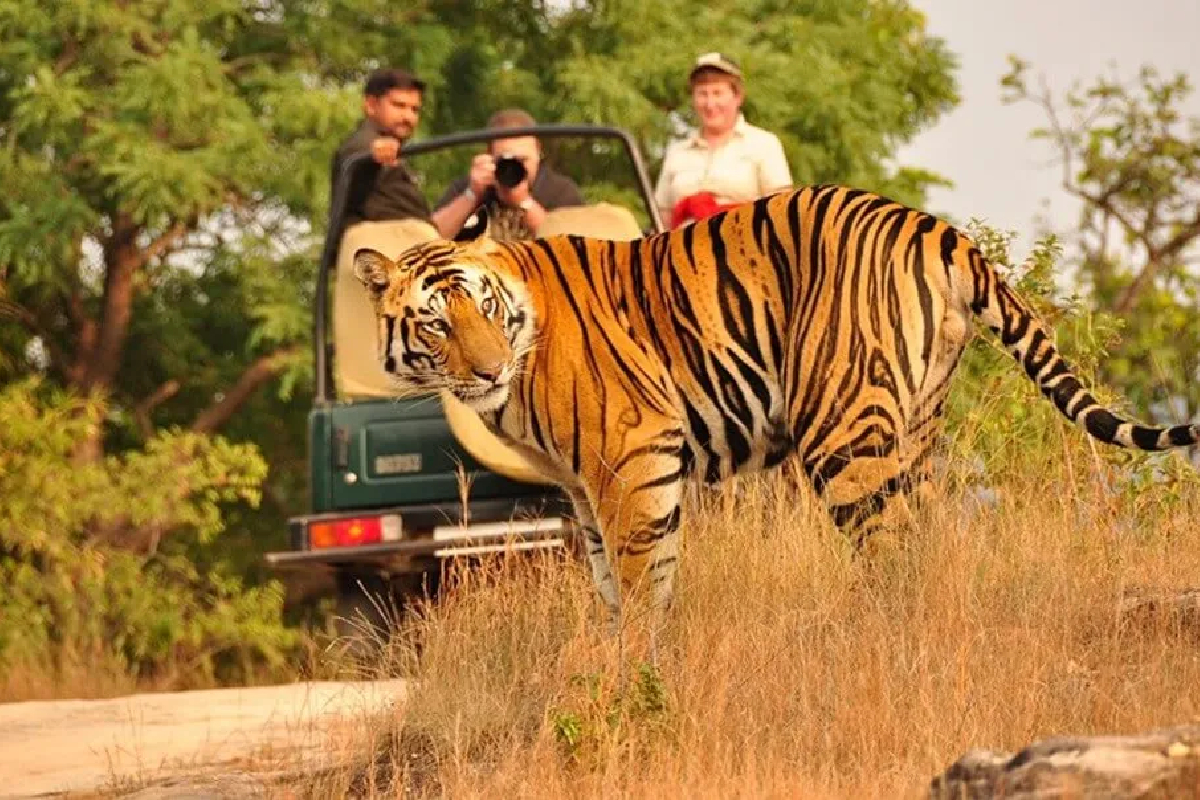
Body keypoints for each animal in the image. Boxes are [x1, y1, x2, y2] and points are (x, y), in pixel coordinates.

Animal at [352, 184, 1200, 642]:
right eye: (436, 324)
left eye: (485, 308)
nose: (489, 369)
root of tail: (935, 226)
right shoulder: (582, 484)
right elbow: (608, 578)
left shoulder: (633, 455)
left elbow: (641, 573)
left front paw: (634, 666)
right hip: (916, 427)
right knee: (931, 540)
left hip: (841, 431)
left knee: (890, 550)